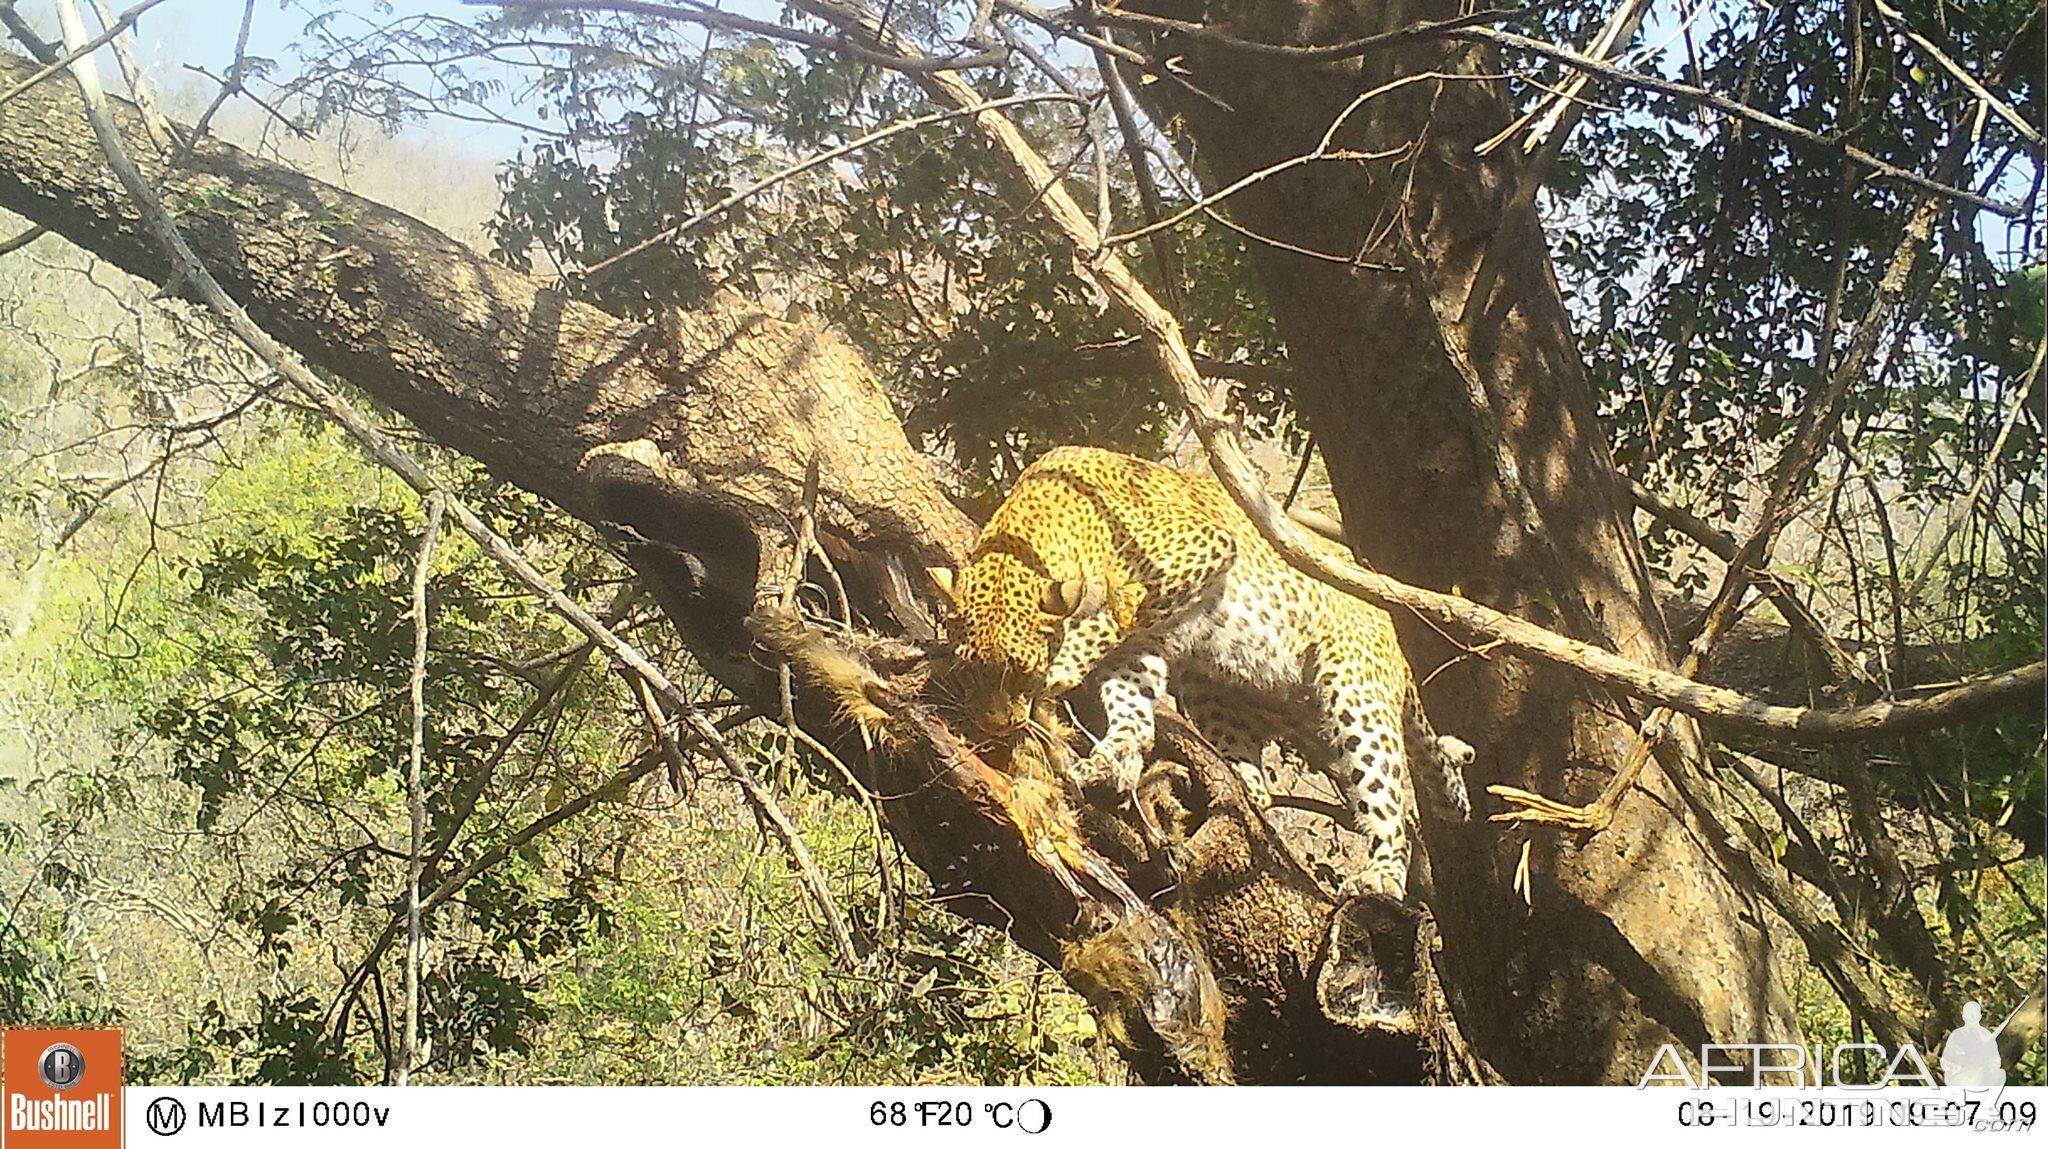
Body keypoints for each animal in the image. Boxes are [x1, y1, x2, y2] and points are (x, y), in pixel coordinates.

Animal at [929, 444, 1474, 901]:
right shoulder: (1143, 646)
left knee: (1385, 794)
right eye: (968, 676)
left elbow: (1113, 613)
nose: (995, 729)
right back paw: (1244, 783)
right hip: (1221, 689)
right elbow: (1131, 705)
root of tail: (1385, 616)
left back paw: (1382, 876)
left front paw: (1063, 668)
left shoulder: (1203, 547)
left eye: (1020, 675)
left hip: (1355, 687)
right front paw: (1110, 759)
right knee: (1259, 769)